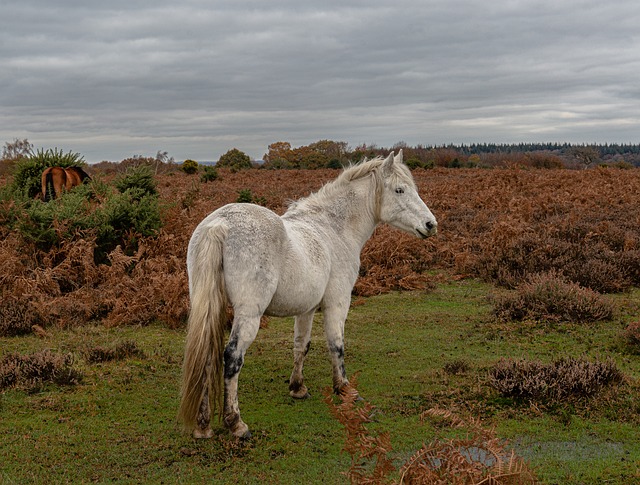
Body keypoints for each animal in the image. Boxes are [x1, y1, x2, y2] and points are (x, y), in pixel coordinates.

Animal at [178, 150, 438, 438]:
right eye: (400, 190)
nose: (430, 224)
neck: (333, 229)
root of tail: (219, 225)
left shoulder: (306, 309)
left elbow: (301, 345)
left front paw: (297, 388)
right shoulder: (337, 303)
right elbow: (336, 344)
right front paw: (344, 388)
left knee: (207, 357)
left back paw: (203, 425)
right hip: (249, 315)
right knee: (232, 357)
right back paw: (235, 422)